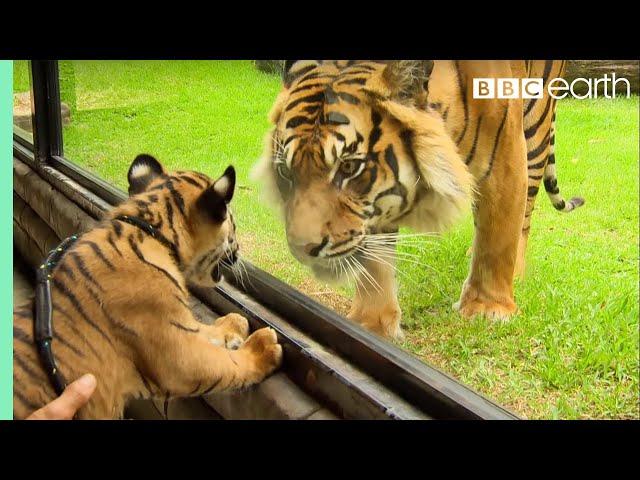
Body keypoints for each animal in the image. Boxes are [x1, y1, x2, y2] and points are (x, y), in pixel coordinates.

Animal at [12, 156, 282, 418]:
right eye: (233, 224)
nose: (239, 252)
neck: (153, 229)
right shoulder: (180, 356)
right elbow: (228, 364)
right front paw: (263, 348)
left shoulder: (177, 322)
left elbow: (205, 329)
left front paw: (234, 322)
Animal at [252, 59, 584, 338]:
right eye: (286, 172)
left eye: (348, 167)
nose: (303, 249)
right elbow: (375, 259)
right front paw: (372, 323)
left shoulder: (506, 158)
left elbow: (498, 236)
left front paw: (487, 309)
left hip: (537, 131)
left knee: (523, 216)